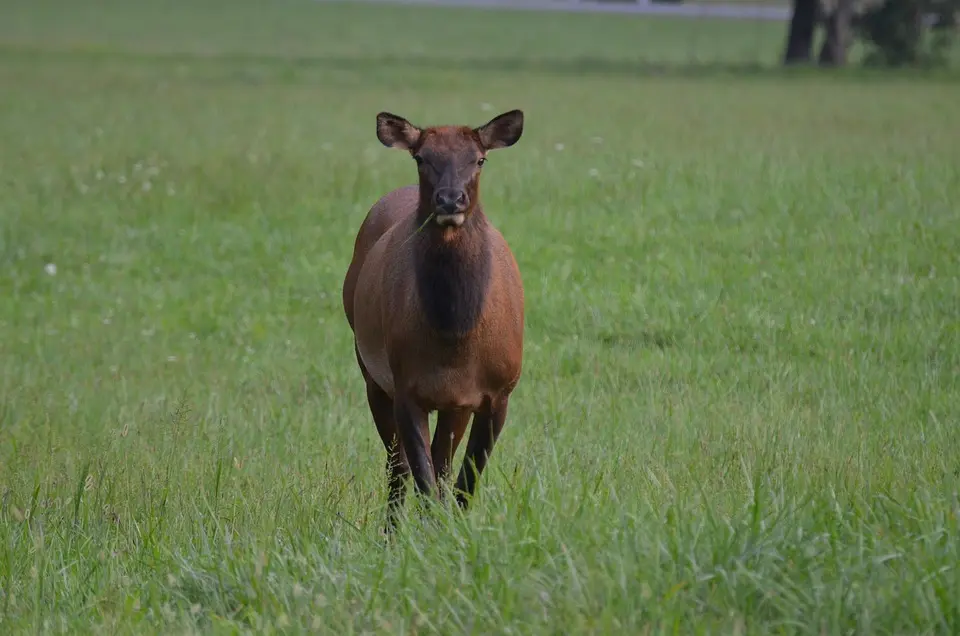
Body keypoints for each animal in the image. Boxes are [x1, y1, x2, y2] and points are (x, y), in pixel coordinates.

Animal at [342, 109, 524, 532]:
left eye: (479, 159)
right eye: (421, 157)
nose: (450, 199)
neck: (453, 338)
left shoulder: (499, 390)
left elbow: (464, 482)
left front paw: (451, 533)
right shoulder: (407, 386)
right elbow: (421, 477)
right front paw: (428, 537)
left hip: (453, 403)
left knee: (441, 462)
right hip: (370, 370)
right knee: (399, 467)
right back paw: (390, 532)